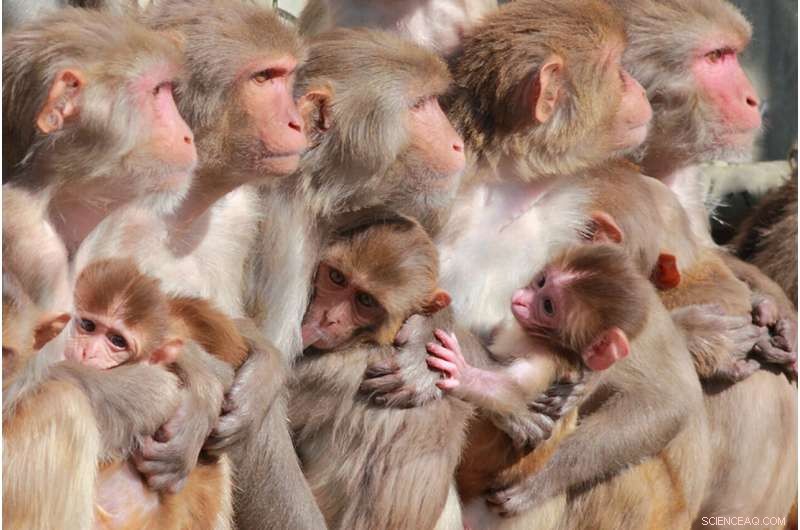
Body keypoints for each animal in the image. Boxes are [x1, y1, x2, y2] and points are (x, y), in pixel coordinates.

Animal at [425, 244, 710, 530]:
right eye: (541, 281)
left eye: (548, 306)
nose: (521, 298)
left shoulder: (548, 355)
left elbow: (515, 390)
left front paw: (464, 375)